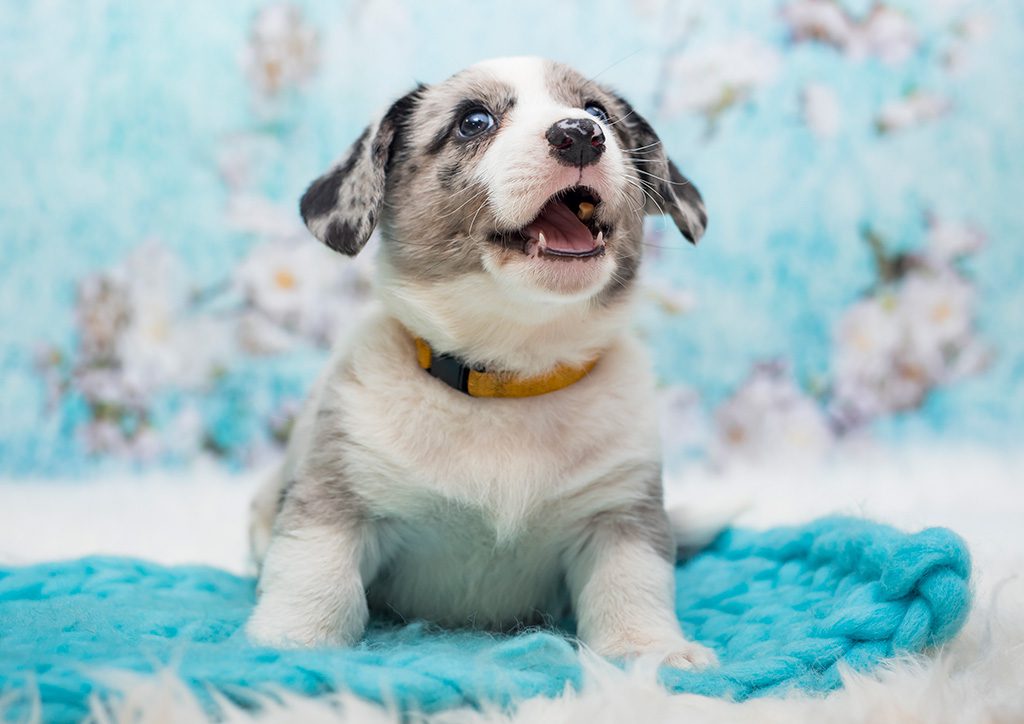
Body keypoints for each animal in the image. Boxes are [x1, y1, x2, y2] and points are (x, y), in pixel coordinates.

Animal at [246, 55, 716, 667]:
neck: (510, 376)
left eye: (597, 112)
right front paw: (294, 643)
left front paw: (651, 651)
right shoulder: (339, 500)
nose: (579, 134)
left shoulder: (618, 515)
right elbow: (313, 572)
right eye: (474, 121)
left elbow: (633, 587)